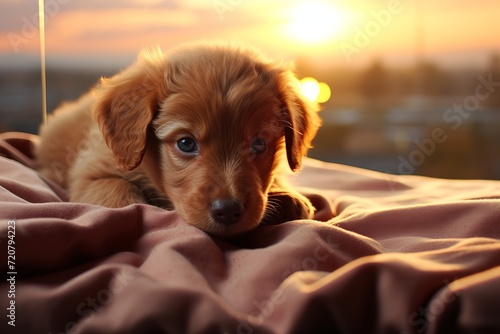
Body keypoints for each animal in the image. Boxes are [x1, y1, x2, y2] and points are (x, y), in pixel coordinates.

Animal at [37, 41, 322, 236]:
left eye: (259, 144)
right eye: (186, 143)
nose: (228, 210)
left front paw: (288, 196)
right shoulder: (90, 173)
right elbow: (116, 191)